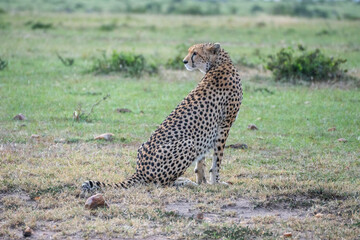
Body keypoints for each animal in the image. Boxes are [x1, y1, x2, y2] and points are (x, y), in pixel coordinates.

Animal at [81, 41, 243, 195]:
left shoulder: (211, 130)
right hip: (189, 144)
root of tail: (139, 171)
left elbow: (202, 160)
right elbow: (217, 159)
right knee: (160, 183)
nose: (184, 61)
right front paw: (215, 182)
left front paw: (203, 181)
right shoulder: (224, 125)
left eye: (195, 53)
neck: (219, 63)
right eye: (190, 52)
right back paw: (185, 182)